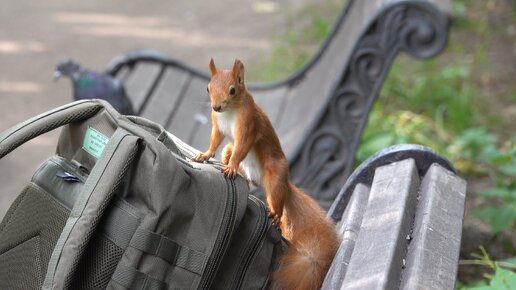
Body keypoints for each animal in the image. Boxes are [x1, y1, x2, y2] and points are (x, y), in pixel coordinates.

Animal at [191, 57, 340, 288]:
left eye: (232, 90)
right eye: (208, 87)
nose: (216, 106)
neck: (229, 113)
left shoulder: (248, 125)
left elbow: (242, 147)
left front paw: (231, 167)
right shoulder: (218, 126)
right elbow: (215, 141)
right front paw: (205, 155)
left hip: (275, 177)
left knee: (276, 200)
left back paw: (275, 215)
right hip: (239, 161)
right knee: (229, 153)